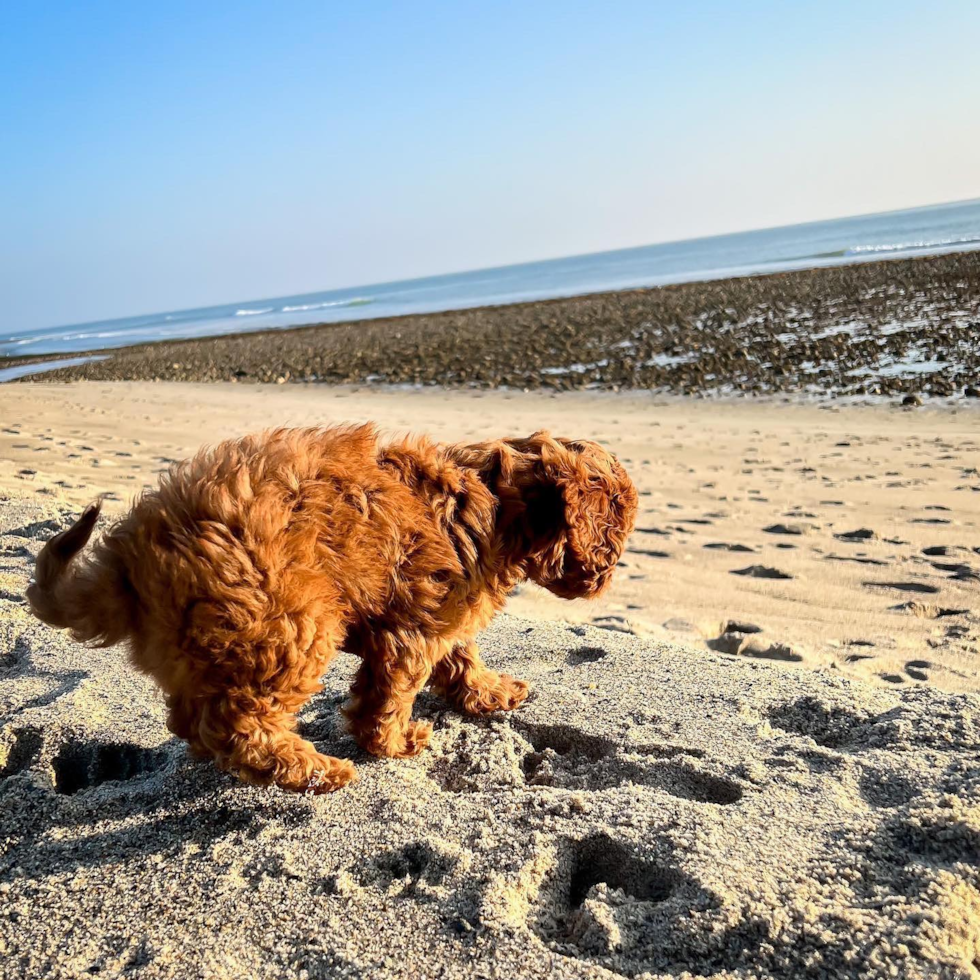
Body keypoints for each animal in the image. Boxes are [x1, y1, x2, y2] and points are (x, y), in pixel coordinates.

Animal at [26, 424, 640, 792]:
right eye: (616, 525)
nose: (608, 574)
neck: (496, 497)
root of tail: (131, 551)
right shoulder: (412, 627)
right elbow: (390, 693)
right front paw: (395, 743)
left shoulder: (442, 612)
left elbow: (461, 656)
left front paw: (489, 692)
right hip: (290, 624)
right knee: (237, 722)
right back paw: (311, 769)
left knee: (192, 718)